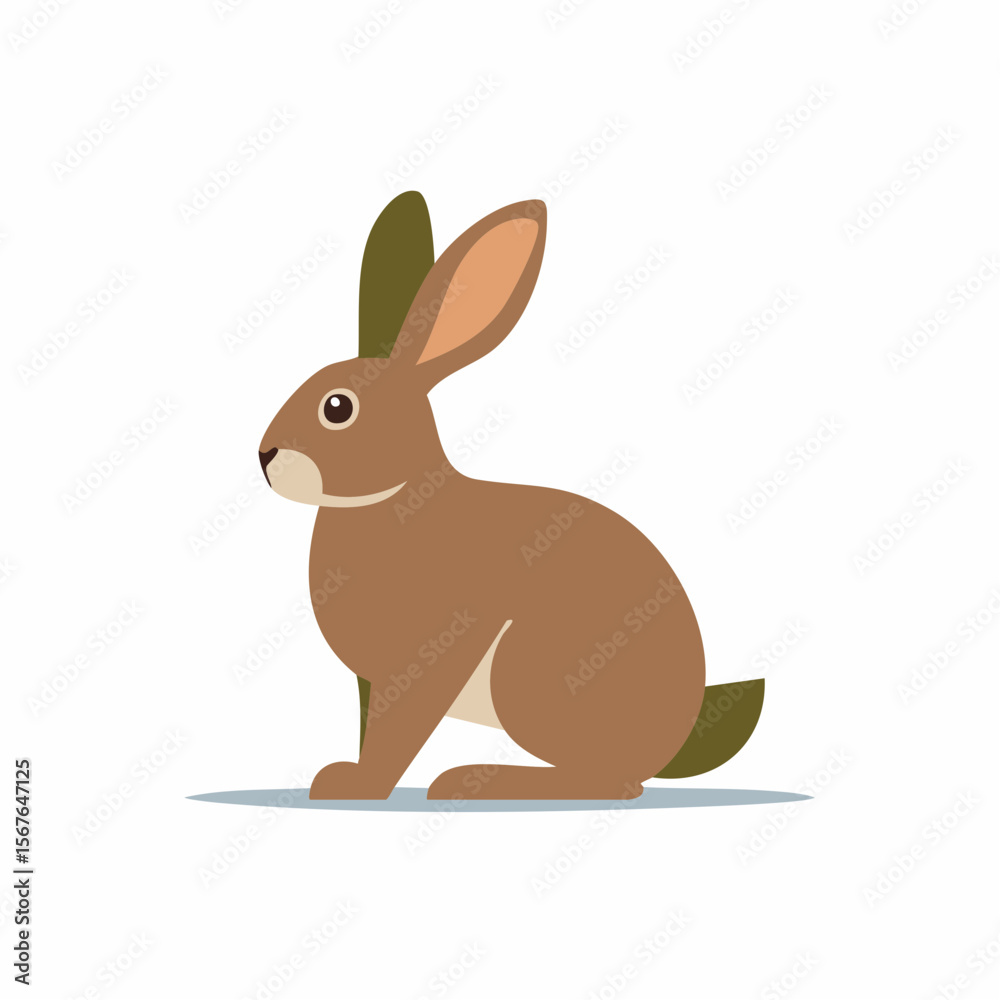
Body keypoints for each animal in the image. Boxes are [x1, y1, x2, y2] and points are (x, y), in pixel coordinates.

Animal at [258, 192, 764, 800]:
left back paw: (474, 781)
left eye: (337, 408)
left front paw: (356, 787)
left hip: (531, 674)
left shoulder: (428, 659)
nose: (265, 456)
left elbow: (398, 732)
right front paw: (343, 775)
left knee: (610, 784)